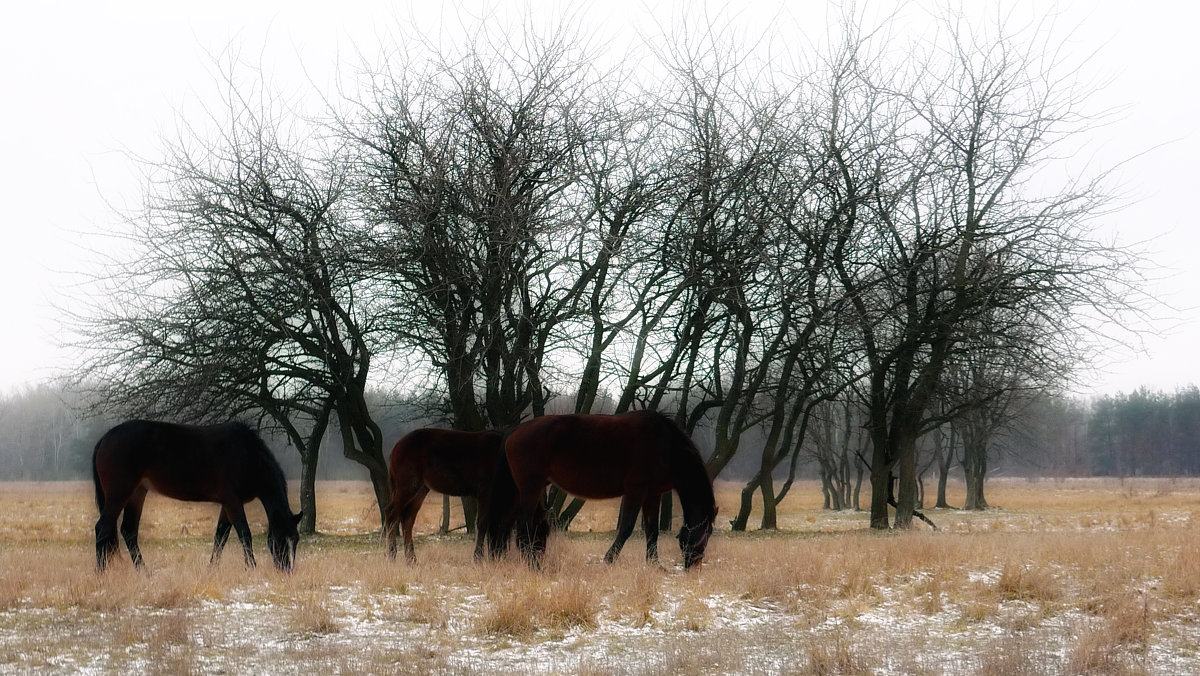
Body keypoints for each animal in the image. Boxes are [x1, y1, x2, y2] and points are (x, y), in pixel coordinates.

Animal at [91, 420, 302, 573]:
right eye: (279, 539)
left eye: (296, 539)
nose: (287, 571)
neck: (247, 455)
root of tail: (105, 438)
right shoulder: (233, 502)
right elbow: (244, 534)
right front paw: (251, 568)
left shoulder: (227, 505)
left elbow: (220, 537)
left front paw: (212, 568)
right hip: (120, 492)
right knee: (103, 528)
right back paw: (101, 573)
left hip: (137, 493)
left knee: (128, 531)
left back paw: (143, 571)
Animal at [381, 432, 508, 564]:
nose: (501, 555)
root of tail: (397, 446)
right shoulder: (485, 492)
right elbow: (483, 523)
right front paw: (478, 557)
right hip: (408, 486)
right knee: (391, 513)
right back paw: (392, 556)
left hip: (421, 490)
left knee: (407, 519)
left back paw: (412, 560)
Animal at [492, 410, 715, 569]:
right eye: (706, 533)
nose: (694, 565)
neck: (666, 446)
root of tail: (515, 431)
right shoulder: (636, 491)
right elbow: (626, 527)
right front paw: (609, 559)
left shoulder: (653, 495)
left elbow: (652, 530)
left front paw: (654, 565)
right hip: (530, 488)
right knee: (523, 525)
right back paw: (533, 565)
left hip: (526, 490)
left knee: (509, 523)